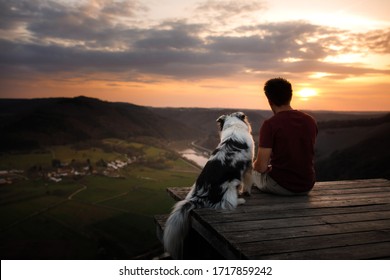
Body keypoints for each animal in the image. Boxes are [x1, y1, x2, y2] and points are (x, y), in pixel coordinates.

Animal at [163, 111, 254, 258]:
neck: (234, 125)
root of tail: (199, 196)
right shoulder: (248, 166)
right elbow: (247, 183)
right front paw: (245, 192)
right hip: (229, 187)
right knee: (227, 203)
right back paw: (240, 200)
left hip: (194, 187)